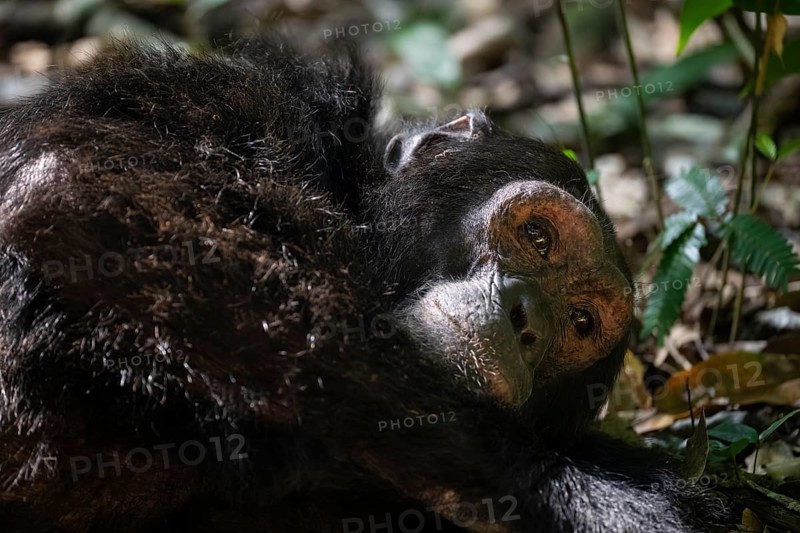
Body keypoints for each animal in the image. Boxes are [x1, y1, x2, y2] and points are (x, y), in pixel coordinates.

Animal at [0, 36, 731, 532]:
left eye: (580, 322)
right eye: (539, 236)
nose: (527, 316)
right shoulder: (228, 101)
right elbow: (78, 193)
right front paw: (591, 498)